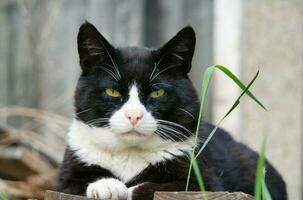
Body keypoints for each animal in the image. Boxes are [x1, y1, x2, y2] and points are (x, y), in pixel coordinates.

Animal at [58, 21, 288, 200]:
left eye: (157, 93)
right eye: (112, 91)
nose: (134, 116)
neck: (130, 154)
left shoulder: (204, 182)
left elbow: (153, 187)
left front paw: (123, 188)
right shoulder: (67, 175)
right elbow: (74, 183)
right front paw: (107, 185)